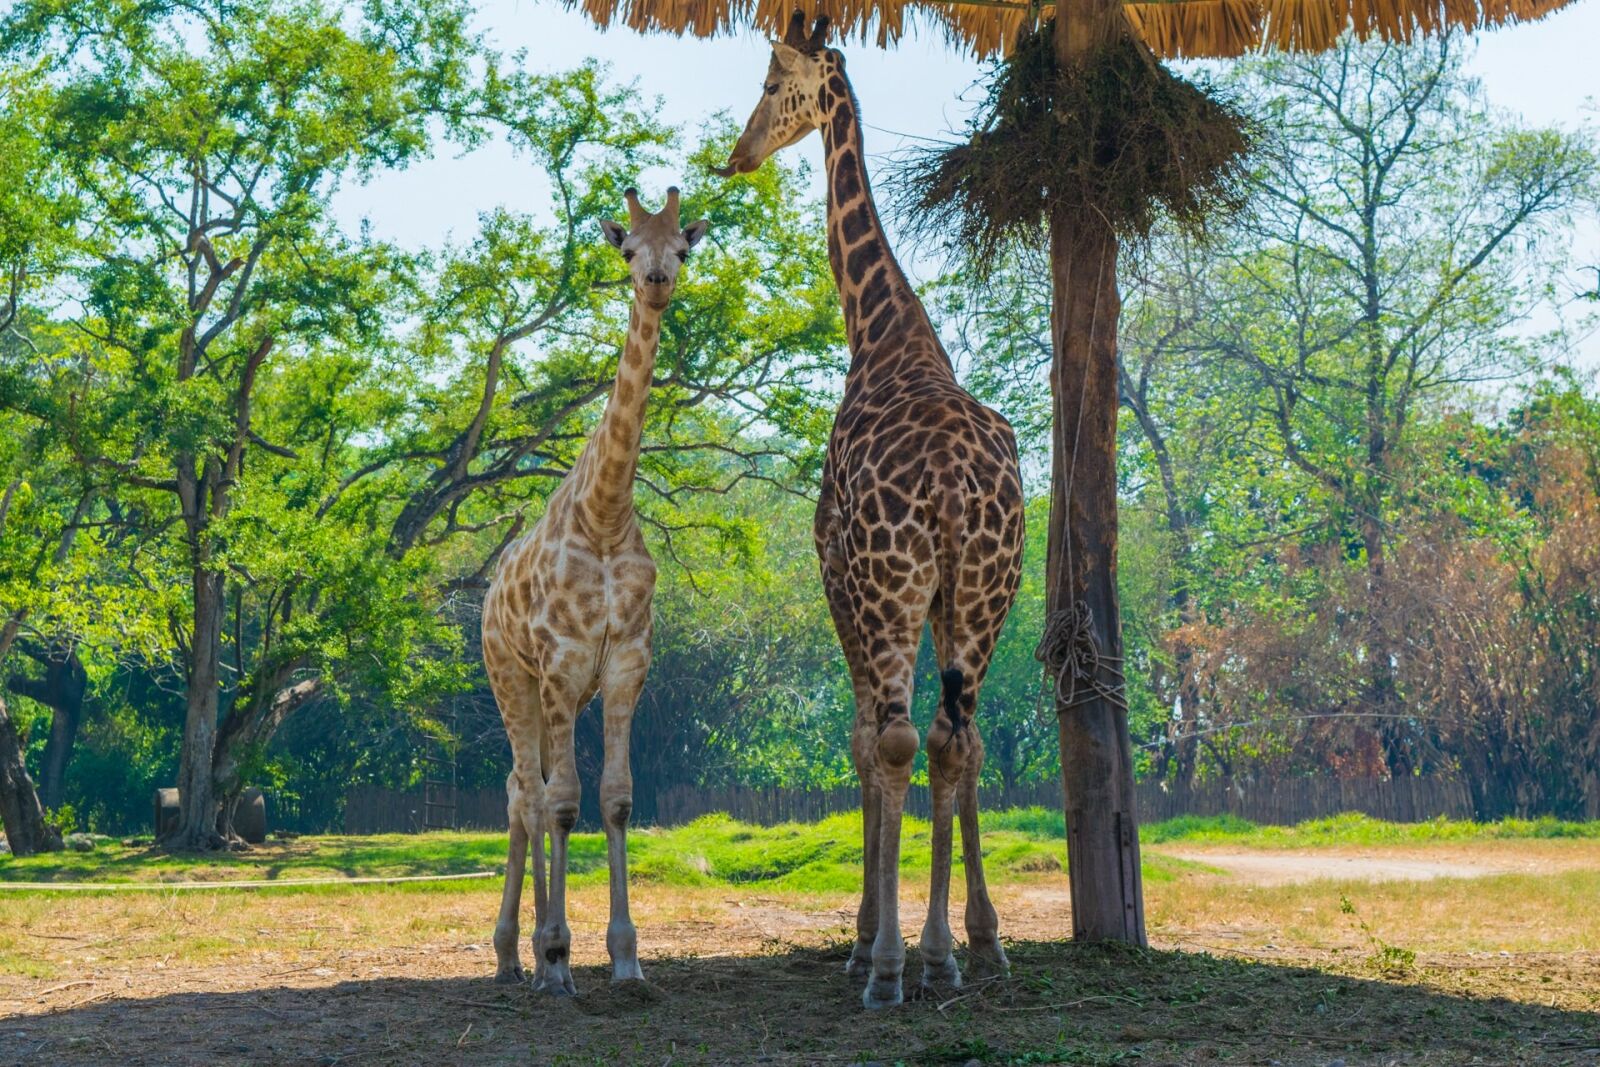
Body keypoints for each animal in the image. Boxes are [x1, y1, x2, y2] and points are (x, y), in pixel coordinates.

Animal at [480, 188, 709, 994]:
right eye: (626, 248)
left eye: (683, 248)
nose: (656, 281)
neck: (606, 513)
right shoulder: (560, 660)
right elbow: (564, 804)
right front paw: (558, 956)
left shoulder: (624, 664)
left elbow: (614, 798)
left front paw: (625, 957)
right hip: (510, 677)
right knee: (525, 791)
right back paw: (518, 953)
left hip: (561, 692)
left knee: (523, 791)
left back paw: (515, 952)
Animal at [715, 12, 1026, 1009]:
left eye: (773, 82)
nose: (738, 154)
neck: (881, 330)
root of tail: (956, 487)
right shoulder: (936, 598)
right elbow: (948, 749)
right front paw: (968, 939)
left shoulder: (838, 573)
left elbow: (859, 743)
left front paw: (862, 938)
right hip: (984, 592)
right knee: (956, 739)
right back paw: (951, 952)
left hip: (895, 588)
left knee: (897, 738)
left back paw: (890, 966)